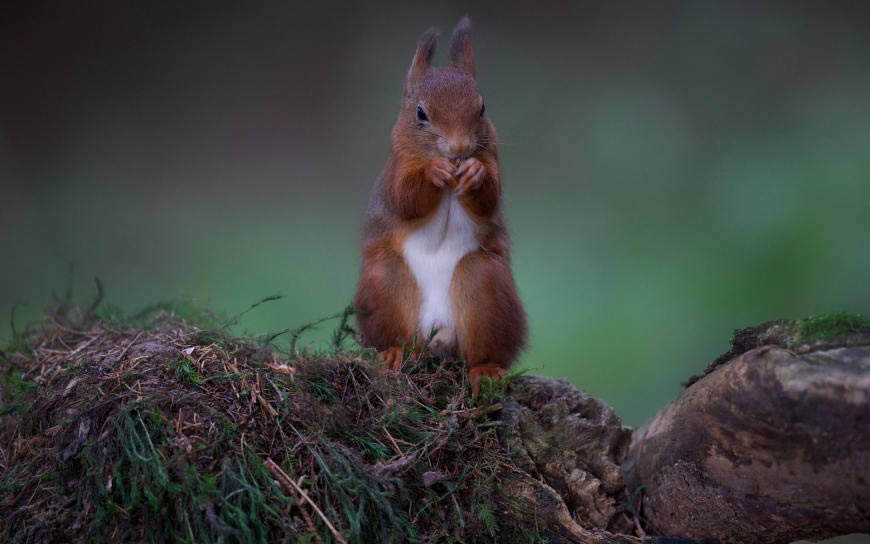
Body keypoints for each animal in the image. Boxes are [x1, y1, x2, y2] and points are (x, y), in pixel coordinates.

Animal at [352, 17, 528, 392]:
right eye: (420, 112)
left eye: (482, 107)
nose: (459, 148)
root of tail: (438, 335)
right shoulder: (396, 168)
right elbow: (405, 199)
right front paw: (434, 172)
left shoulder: (493, 160)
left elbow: (488, 200)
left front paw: (474, 173)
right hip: (385, 283)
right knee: (395, 334)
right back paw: (392, 353)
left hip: (485, 288)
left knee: (484, 347)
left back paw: (486, 369)